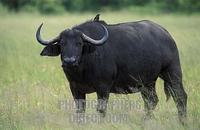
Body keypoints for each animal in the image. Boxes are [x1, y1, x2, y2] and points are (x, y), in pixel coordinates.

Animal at [36, 14, 188, 124]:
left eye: (79, 43)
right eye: (62, 43)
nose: (69, 61)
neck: (82, 70)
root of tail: (166, 34)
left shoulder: (103, 87)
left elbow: (101, 109)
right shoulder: (75, 88)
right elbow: (80, 110)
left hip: (172, 72)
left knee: (180, 96)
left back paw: (182, 122)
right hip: (147, 83)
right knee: (151, 100)